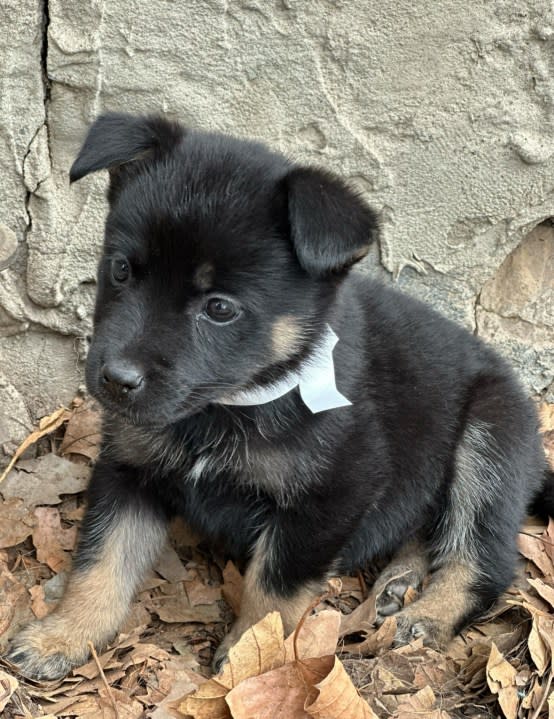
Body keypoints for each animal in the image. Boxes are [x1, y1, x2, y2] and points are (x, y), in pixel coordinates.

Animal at [6, 114, 548, 680]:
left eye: (220, 308)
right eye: (121, 270)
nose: (115, 379)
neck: (232, 404)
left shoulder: (333, 494)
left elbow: (274, 590)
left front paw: (252, 665)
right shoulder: (130, 468)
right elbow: (102, 561)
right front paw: (64, 634)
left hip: (489, 440)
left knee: (483, 559)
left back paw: (424, 616)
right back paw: (398, 582)